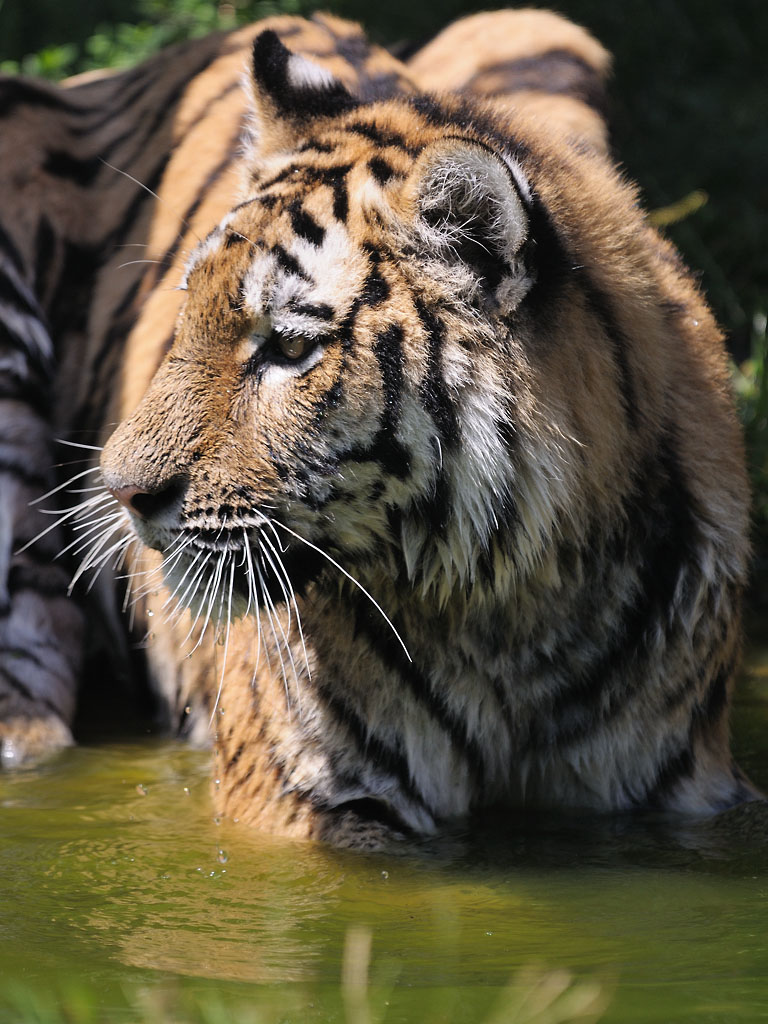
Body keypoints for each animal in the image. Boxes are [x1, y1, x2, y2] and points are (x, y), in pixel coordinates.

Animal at [0, 9, 759, 847]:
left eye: (289, 348)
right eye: (185, 316)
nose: (122, 492)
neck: (517, 617)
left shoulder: (690, 791)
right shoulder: (299, 794)